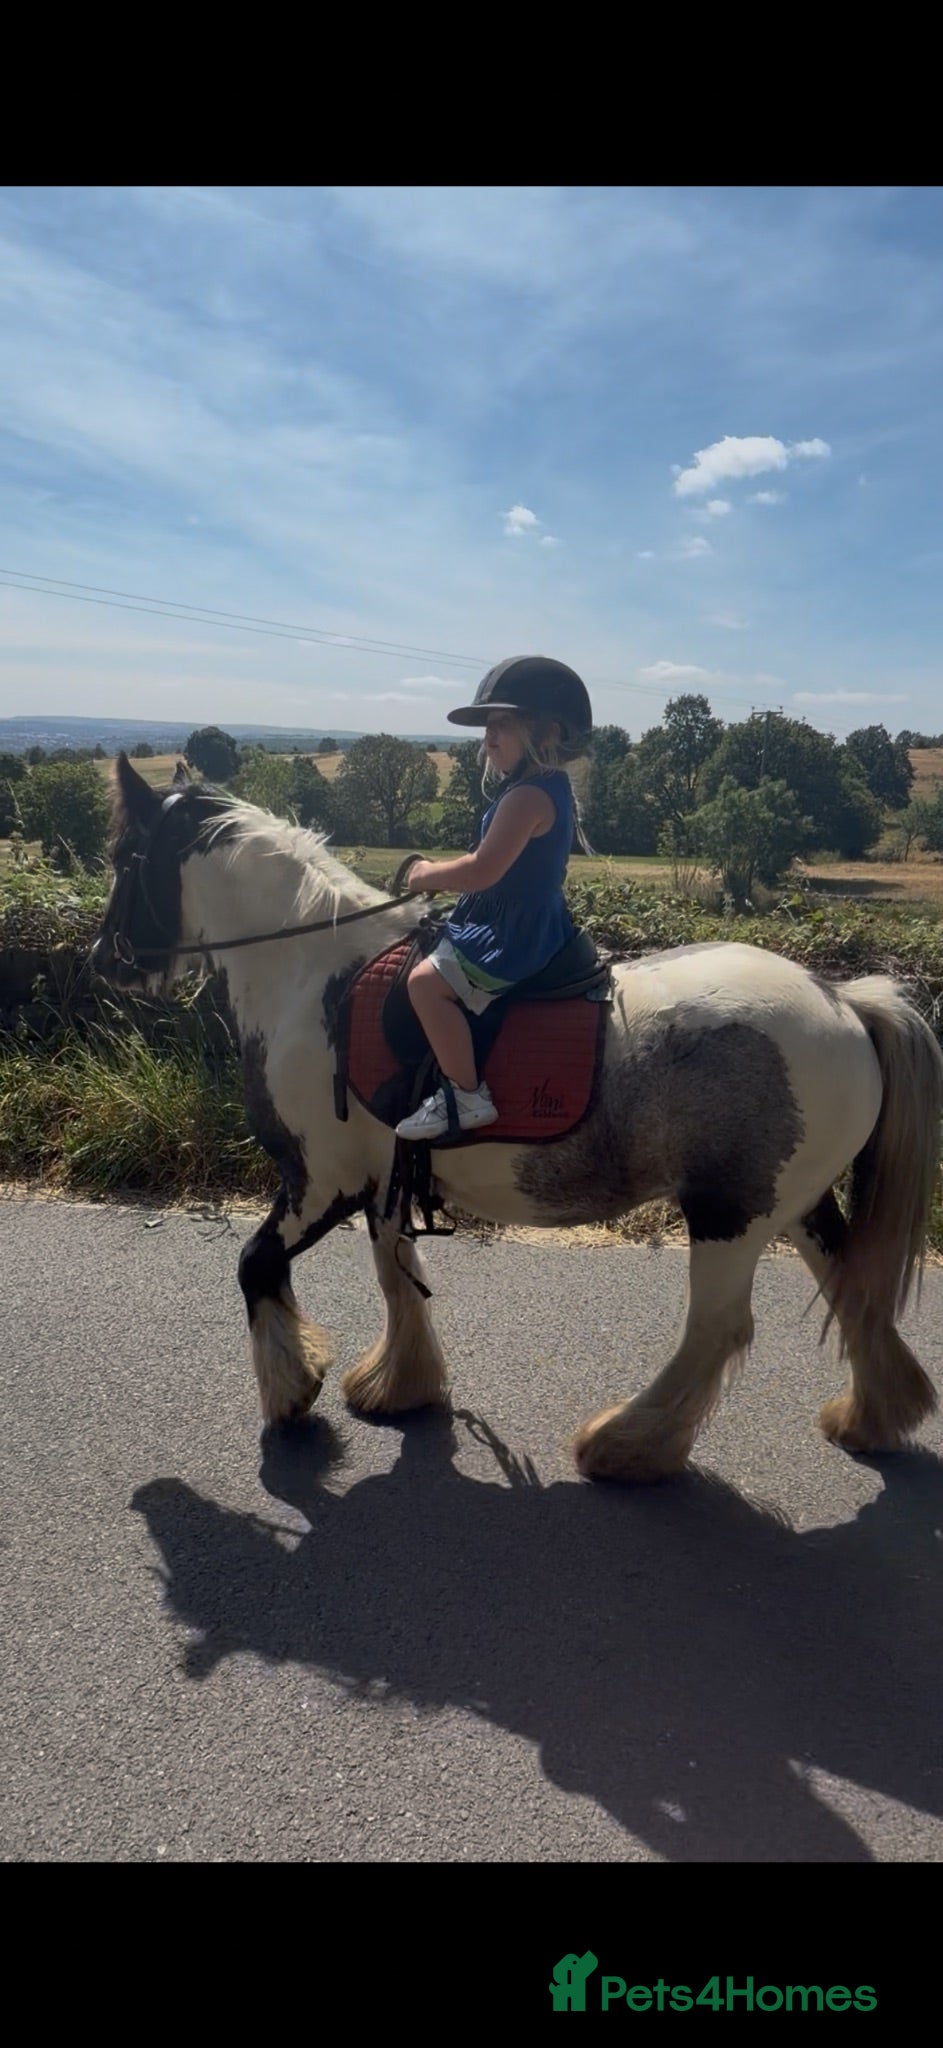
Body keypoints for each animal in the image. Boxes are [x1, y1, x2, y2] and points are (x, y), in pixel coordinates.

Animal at [90, 753, 943, 1483]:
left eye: (124, 858)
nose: (105, 961)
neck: (316, 980)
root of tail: (843, 999)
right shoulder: (382, 1179)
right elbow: (396, 1275)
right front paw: (400, 1386)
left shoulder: (320, 1179)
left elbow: (257, 1264)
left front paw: (292, 1391)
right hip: (793, 1203)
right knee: (851, 1289)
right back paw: (873, 1417)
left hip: (729, 1213)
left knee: (717, 1329)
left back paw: (626, 1445)